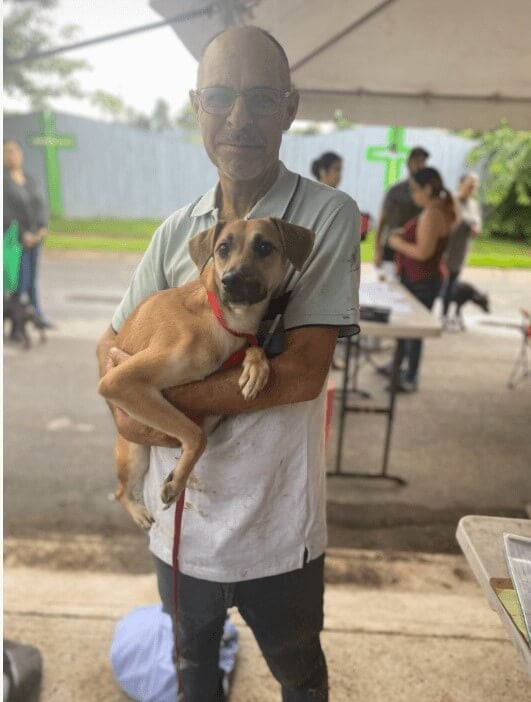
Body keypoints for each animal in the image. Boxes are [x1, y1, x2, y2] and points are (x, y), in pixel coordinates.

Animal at [99, 219, 314, 528]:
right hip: (133, 452)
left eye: (264, 246)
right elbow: (196, 435)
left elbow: (253, 349)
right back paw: (140, 512)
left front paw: (256, 367)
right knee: (120, 492)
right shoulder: (119, 381)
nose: (231, 280)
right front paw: (177, 481)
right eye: (222, 248)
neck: (222, 318)